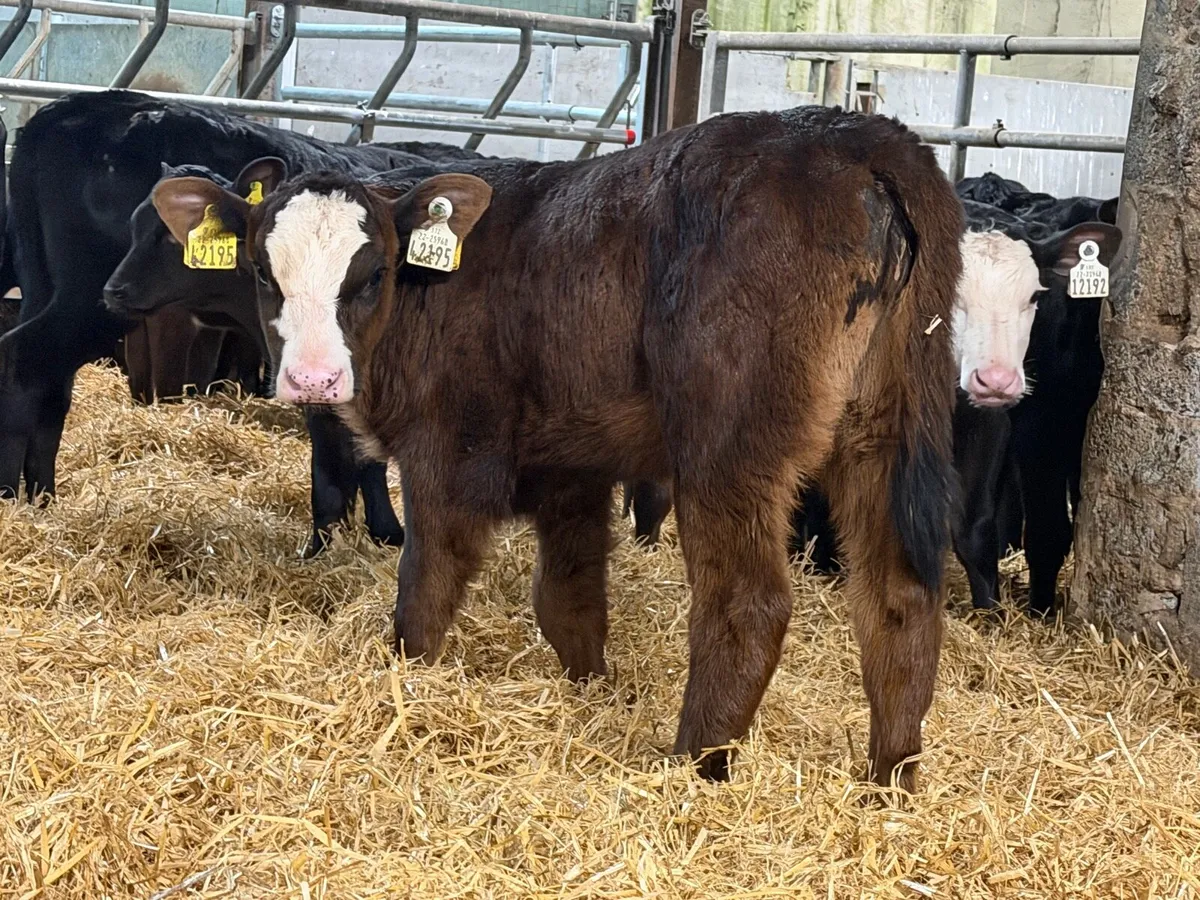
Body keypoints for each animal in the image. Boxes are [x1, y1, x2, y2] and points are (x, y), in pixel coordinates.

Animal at [0, 89, 481, 550]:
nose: (116, 289)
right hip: (82, 299)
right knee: (29, 358)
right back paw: (17, 495)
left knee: (46, 379)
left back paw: (39, 496)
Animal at [154, 106, 966, 789]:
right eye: (262, 272)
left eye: (373, 272)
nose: (312, 378)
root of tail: (854, 132)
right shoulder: (571, 466)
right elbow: (568, 601)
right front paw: (591, 694)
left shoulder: (448, 453)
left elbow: (425, 588)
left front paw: (407, 685)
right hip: (885, 429)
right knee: (899, 596)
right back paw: (888, 781)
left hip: (729, 443)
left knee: (747, 603)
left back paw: (692, 769)